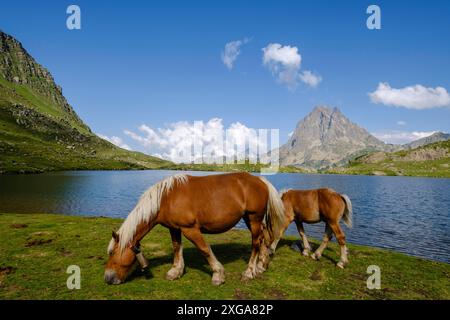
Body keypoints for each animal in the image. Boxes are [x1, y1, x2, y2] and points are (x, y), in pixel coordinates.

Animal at [103, 172, 284, 284]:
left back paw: (249, 272)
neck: (166, 198)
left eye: (112, 253)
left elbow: (204, 249)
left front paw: (218, 274)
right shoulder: (174, 228)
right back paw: (261, 266)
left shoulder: (190, 229)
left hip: (254, 218)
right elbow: (177, 248)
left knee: (255, 243)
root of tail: (260, 180)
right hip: (250, 219)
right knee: (262, 240)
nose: (108, 278)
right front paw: (176, 271)